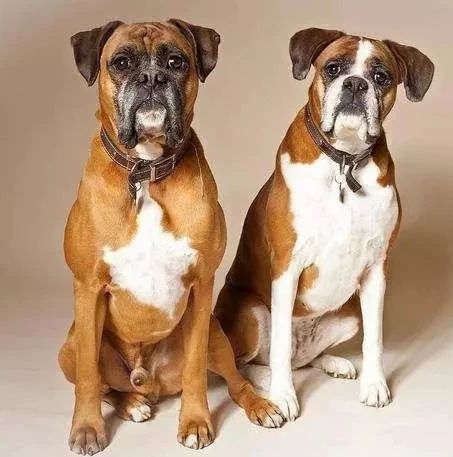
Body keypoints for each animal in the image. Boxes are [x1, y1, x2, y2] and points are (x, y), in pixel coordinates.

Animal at [58, 19, 283, 455]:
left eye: (176, 62)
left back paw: (259, 405)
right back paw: (131, 403)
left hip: (215, 332)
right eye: (122, 63)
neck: (145, 172)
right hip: (71, 344)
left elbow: (197, 370)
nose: (151, 78)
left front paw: (195, 421)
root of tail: (151, 384)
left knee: (234, 380)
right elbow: (91, 378)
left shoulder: (201, 285)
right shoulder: (88, 288)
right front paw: (88, 428)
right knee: (107, 384)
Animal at [215, 28, 434, 420]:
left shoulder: (376, 271)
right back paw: (267, 381)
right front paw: (283, 396)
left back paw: (334, 363)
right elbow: (279, 346)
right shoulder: (287, 267)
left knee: (303, 359)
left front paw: (375, 385)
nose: (356, 84)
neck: (344, 162)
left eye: (381, 77)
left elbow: (375, 338)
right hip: (251, 313)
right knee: (253, 361)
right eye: (333, 68)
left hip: (349, 315)